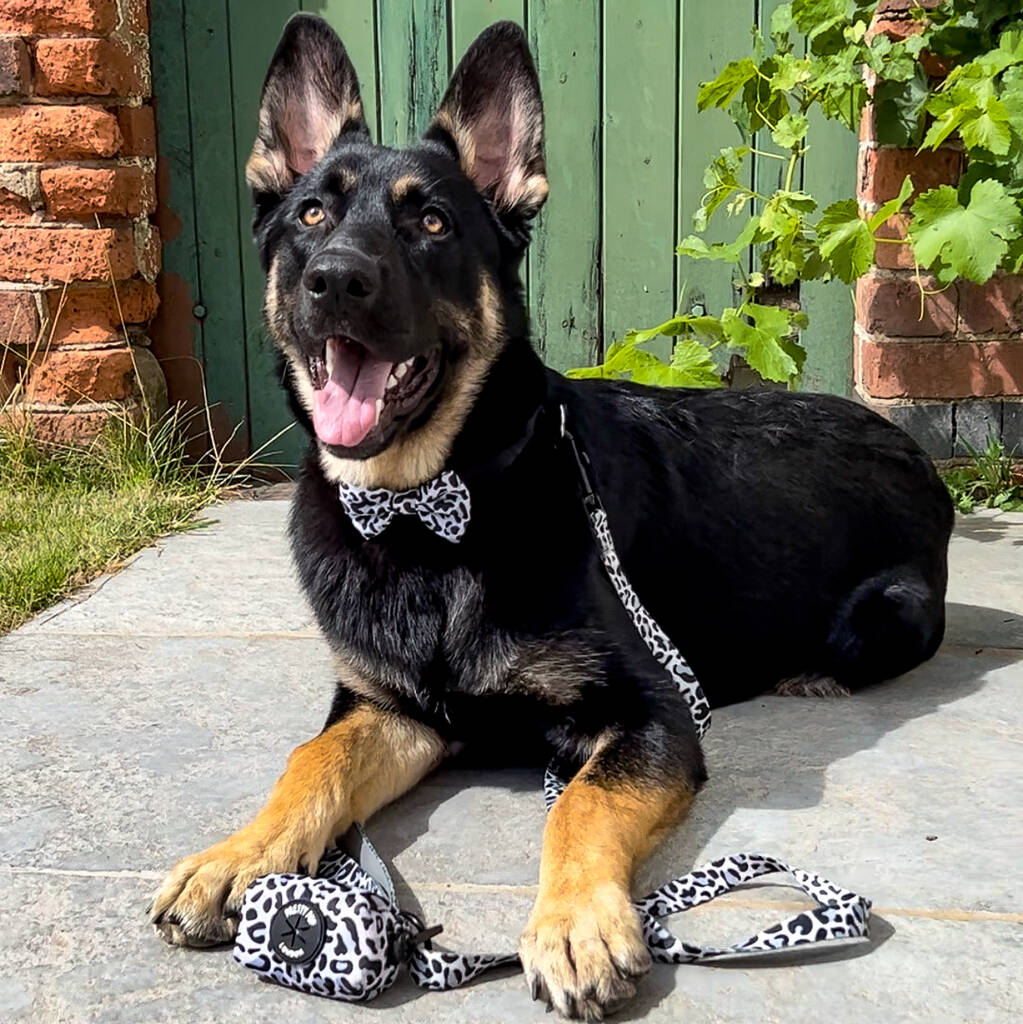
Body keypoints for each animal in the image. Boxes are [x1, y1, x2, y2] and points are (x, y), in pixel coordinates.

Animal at [149, 14, 950, 1015]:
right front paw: (236, 858)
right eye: (310, 217)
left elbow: (578, 804)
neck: (426, 519)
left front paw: (573, 925)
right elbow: (309, 763)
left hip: (886, 617)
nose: (333, 281)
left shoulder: (649, 715)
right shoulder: (388, 709)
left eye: (431, 221)